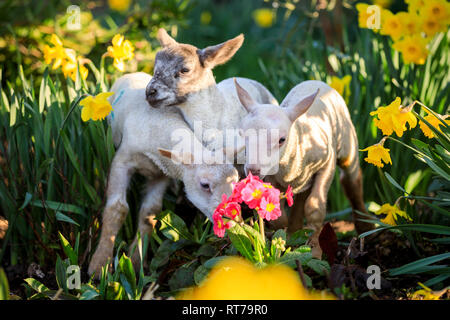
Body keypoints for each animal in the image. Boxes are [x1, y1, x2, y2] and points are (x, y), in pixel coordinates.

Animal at [85, 72, 239, 276]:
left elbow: (149, 213)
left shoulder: (161, 174)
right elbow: (117, 208)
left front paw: (136, 260)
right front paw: (99, 265)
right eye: (204, 185)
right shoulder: (121, 162)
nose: (232, 218)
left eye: (236, 182)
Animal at [234, 79, 374, 256]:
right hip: (304, 175)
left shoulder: (326, 163)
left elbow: (314, 207)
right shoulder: (272, 176)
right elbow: (278, 213)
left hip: (347, 140)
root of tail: (315, 81)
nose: (253, 170)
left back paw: (366, 226)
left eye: (282, 140)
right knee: (301, 196)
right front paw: (285, 236)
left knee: (351, 181)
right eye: (242, 135)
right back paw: (295, 231)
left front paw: (314, 250)